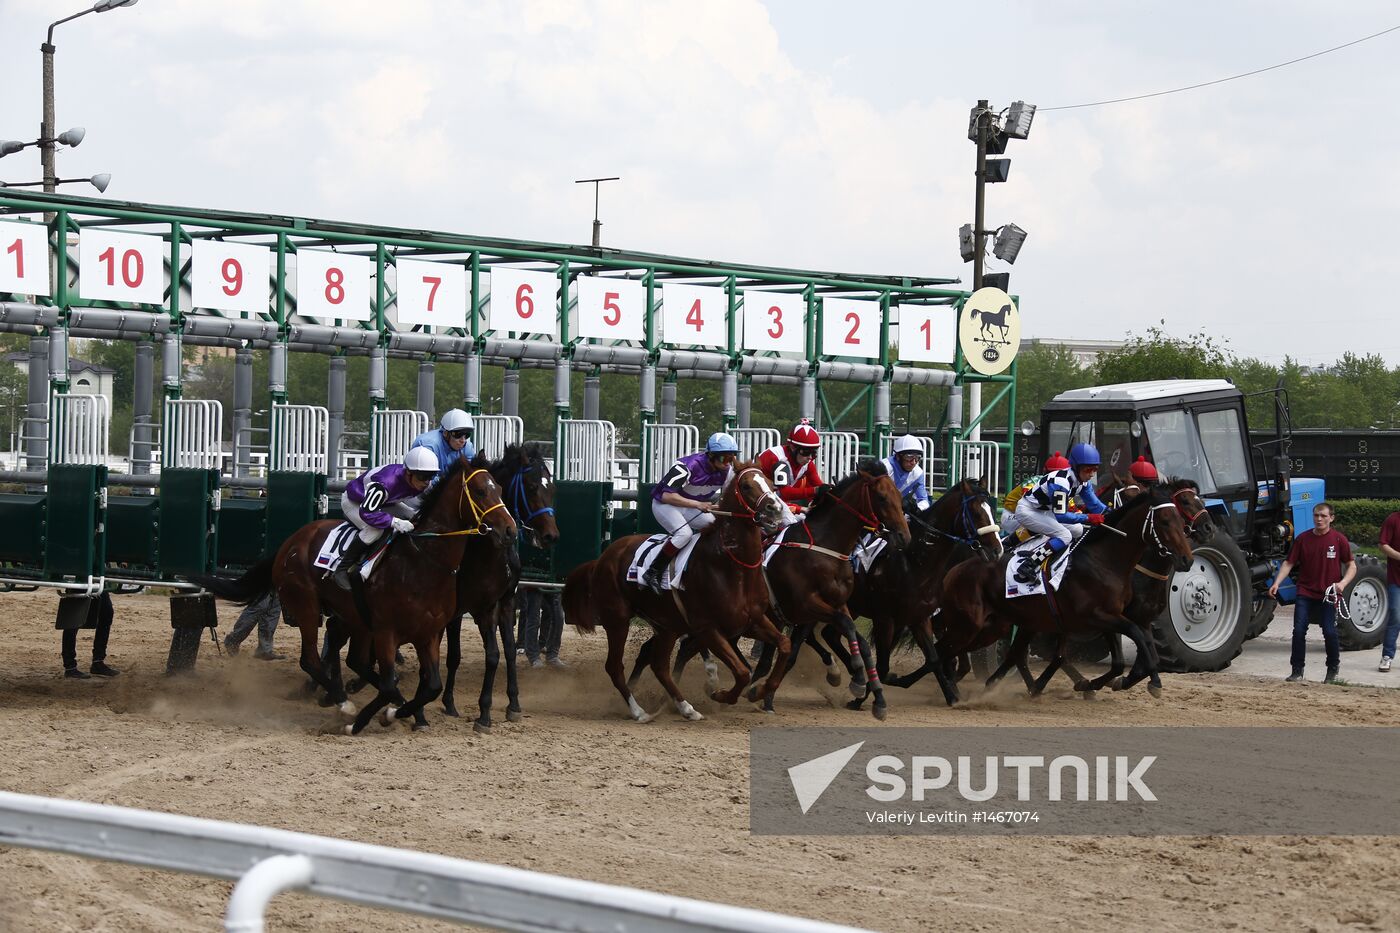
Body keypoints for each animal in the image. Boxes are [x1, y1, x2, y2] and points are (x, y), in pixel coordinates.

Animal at [194, 453, 518, 728]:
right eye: (480, 491)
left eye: (501, 489)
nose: (510, 530)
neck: (423, 561)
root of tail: (289, 543)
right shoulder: (387, 631)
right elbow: (388, 683)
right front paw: (362, 720)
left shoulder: (430, 633)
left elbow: (431, 686)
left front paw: (403, 713)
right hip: (307, 607)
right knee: (311, 659)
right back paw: (343, 702)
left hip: (353, 617)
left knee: (355, 661)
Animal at [562, 462, 795, 717]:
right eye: (746, 486)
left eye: (772, 484)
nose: (775, 509)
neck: (731, 567)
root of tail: (601, 558)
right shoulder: (707, 628)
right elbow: (742, 672)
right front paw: (719, 694)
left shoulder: (751, 621)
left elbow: (784, 645)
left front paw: (759, 691)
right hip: (617, 620)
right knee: (615, 666)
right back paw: (639, 712)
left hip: (666, 625)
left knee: (659, 666)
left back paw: (685, 708)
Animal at [935, 481, 1198, 694]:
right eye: (1165, 521)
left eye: (1181, 521)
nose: (1187, 559)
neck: (1104, 560)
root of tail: (958, 566)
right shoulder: (1099, 616)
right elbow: (1136, 645)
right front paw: (1148, 681)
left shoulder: (1116, 617)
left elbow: (1129, 656)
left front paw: (1109, 682)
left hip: (1018, 619)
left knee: (1014, 652)